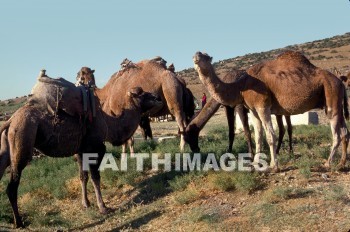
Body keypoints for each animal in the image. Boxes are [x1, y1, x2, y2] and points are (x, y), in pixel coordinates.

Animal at [0, 69, 163, 228]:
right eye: (142, 93)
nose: (158, 97)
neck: (109, 123)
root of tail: (10, 121)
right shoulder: (96, 147)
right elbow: (95, 177)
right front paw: (103, 207)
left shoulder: (80, 150)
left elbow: (82, 176)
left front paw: (86, 203)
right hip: (22, 139)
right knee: (12, 186)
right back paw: (19, 222)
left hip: (7, 147)